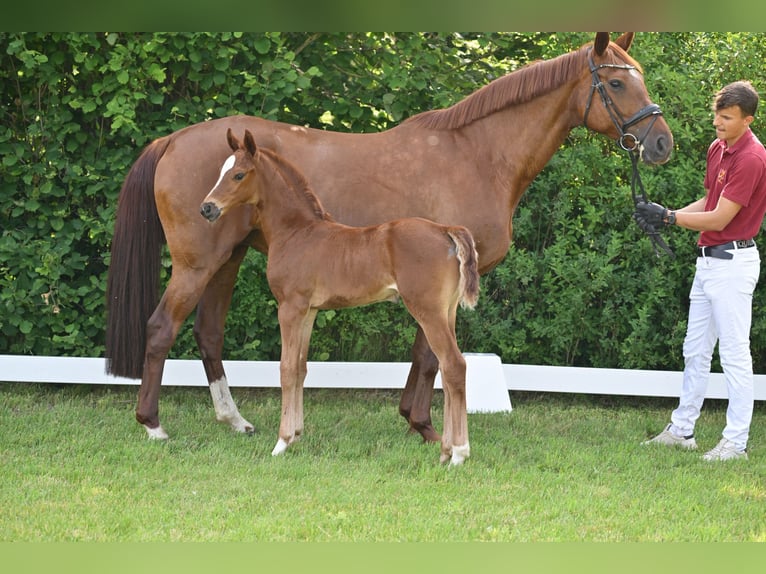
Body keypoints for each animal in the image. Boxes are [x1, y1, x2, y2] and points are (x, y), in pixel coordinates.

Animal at [199, 128, 479, 464]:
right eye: (221, 171)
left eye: (239, 174)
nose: (207, 208)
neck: (297, 233)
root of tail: (445, 230)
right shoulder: (309, 311)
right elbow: (301, 367)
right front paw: (296, 434)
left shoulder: (289, 307)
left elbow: (286, 368)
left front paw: (281, 442)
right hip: (447, 312)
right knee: (448, 371)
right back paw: (446, 451)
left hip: (428, 311)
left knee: (454, 365)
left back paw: (459, 454)